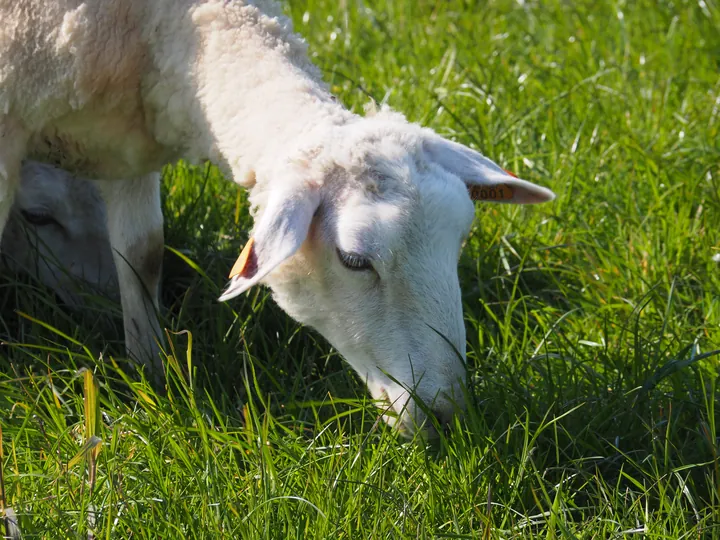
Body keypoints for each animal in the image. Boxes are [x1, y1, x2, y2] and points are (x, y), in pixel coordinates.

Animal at [0, 0, 556, 436]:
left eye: (459, 240)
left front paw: (153, 372)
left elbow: (142, 254)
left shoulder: (128, 143)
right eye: (354, 260)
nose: (449, 416)